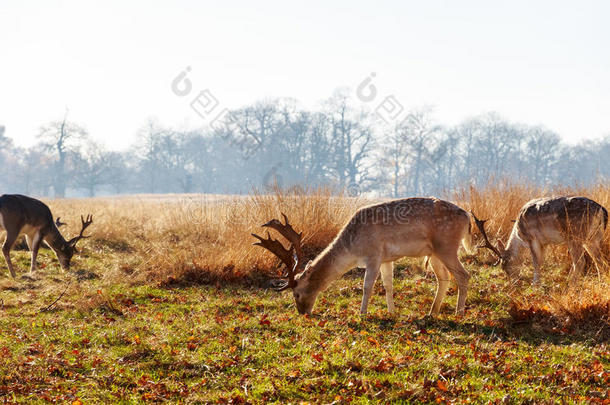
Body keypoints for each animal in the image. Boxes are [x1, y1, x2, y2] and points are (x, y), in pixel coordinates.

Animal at [251, 198, 470, 316]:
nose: (302, 312)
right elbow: (388, 285)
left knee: (463, 275)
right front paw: (392, 312)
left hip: (447, 246)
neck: (353, 250)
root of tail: (468, 217)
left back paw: (458, 313)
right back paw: (432, 312)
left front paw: (362, 313)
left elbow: (367, 286)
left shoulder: (374, 255)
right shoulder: (387, 258)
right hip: (434, 253)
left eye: (296, 293)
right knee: (444, 278)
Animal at [470, 196, 604, 284]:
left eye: (505, 266)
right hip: (593, 239)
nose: (513, 282)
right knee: (599, 261)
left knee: (580, 262)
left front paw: (535, 284)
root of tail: (602, 211)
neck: (519, 234)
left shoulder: (532, 239)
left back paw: (570, 285)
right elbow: (541, 260)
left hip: (575, 237)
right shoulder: (544, 243)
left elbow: (536, 262)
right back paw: (601, 281)